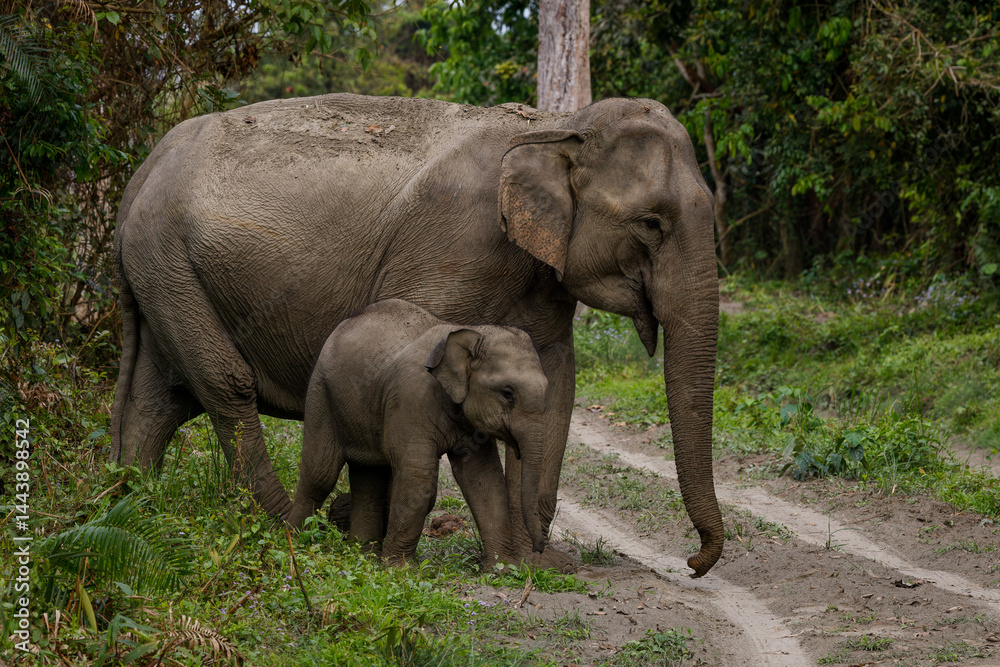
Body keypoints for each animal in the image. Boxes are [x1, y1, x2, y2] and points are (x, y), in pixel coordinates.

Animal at [286, 299, 549, 565]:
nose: (539, 549)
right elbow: (418, 478)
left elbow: (486, 479)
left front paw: (503, 567)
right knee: (320, 472)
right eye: (507, 393)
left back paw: (363, 553)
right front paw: (400, 568)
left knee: (368, 478)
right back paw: (293, 539)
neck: (471, 332)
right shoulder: (408, 401)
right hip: (321, 393)